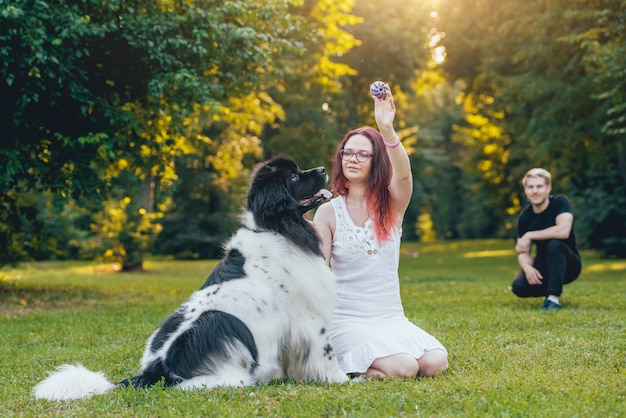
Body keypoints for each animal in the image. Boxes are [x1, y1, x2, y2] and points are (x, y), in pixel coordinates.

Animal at [34, 155, 346, 400]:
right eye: (293, 176)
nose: (322, 169)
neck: (276, 227)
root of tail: (155, 369)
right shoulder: (307, 316)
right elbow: (326, 351)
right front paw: (342, 379)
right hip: (216, 335)